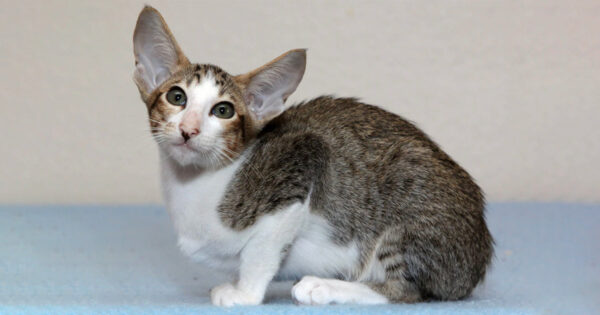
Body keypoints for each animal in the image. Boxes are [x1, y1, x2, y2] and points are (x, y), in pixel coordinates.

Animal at [132, 5, 492, 306]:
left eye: (223, 110)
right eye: (177, 97)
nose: (189, 129)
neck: (197, 182)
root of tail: (478, 259)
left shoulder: (302, 158)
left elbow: (260, 252)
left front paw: (244, 293)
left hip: (410, 202)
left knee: (403, 291)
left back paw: (323, 286)